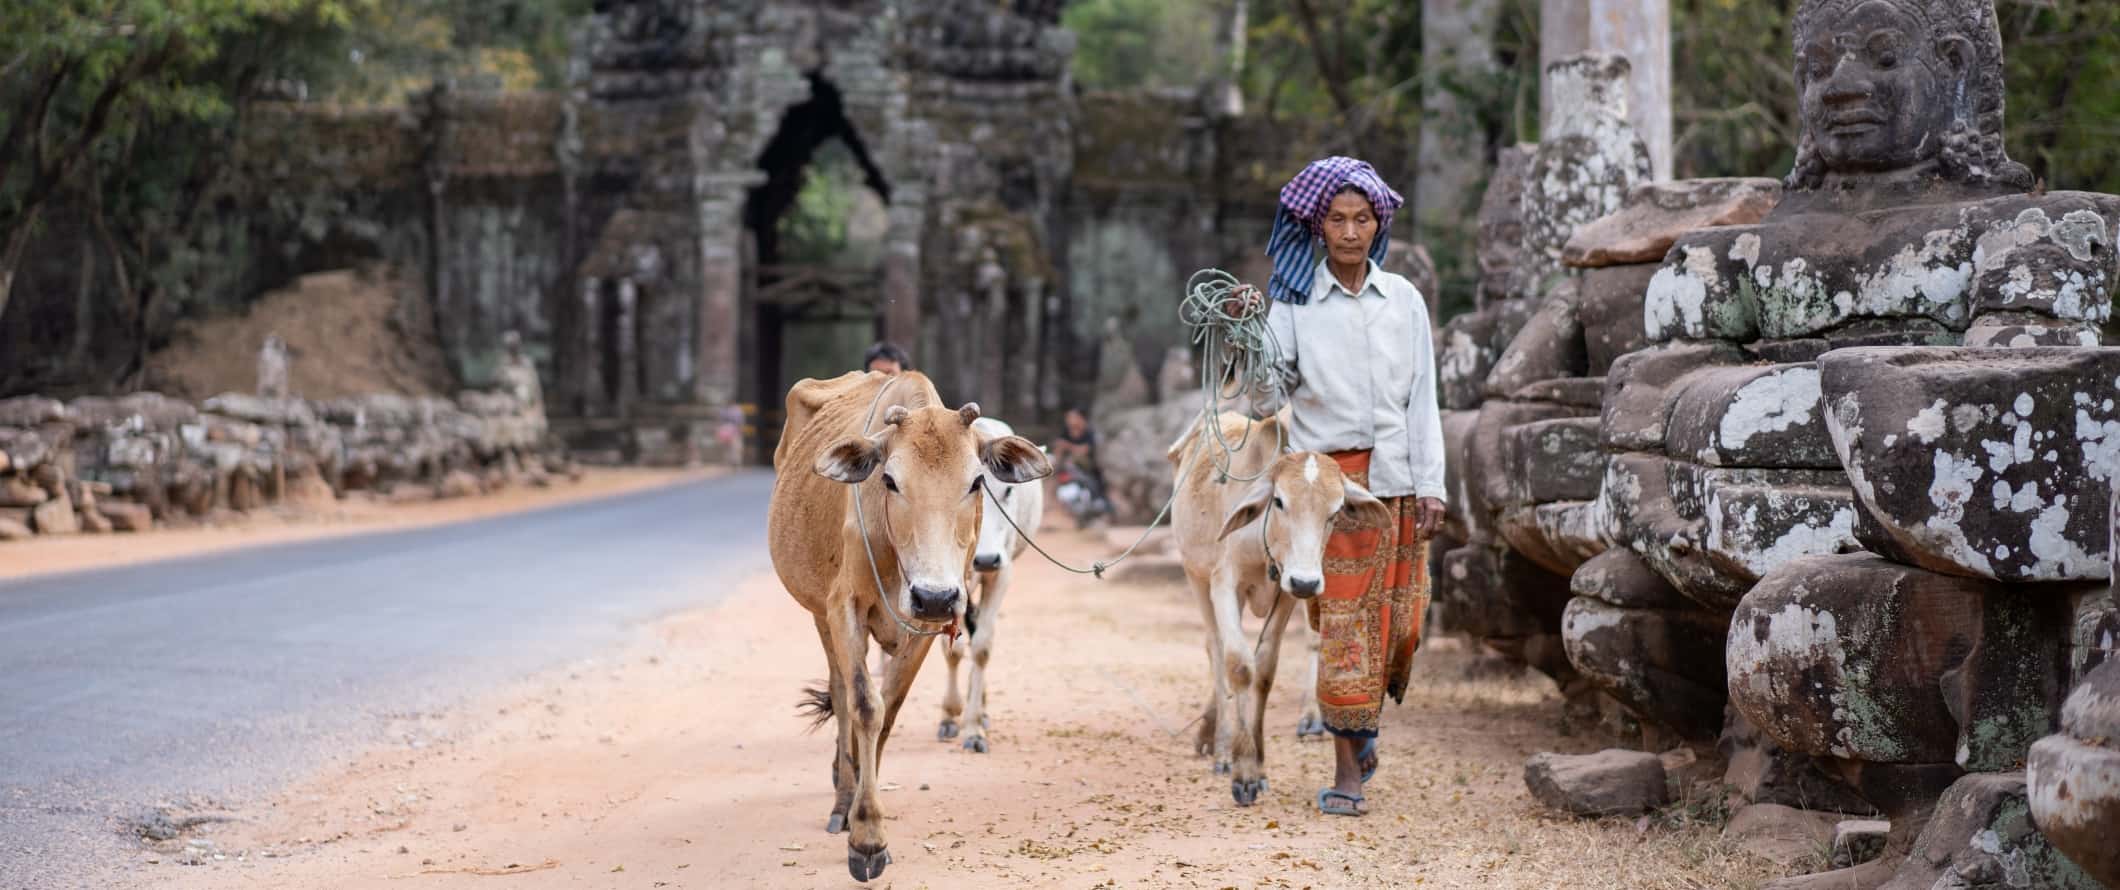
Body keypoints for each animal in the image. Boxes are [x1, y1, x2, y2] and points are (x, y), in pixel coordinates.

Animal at [941, 417, 1047, 750]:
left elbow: (982, 647)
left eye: (1009, 491)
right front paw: (950, 716)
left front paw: (974, 728)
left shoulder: (1002, 573)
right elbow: (952, 649)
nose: (986, 559)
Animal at [1161, 411, 1390, 805]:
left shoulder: (1286, 593)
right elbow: (1239, 665)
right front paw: (1242, 773)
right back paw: (1222, 747)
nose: (1307, 582)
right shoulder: (1225, 582)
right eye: (1280, 501)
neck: (1265, 539)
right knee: (1215, 648)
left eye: (1335, 511)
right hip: (1196, 575)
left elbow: (1265, 669)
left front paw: (1260, 766)